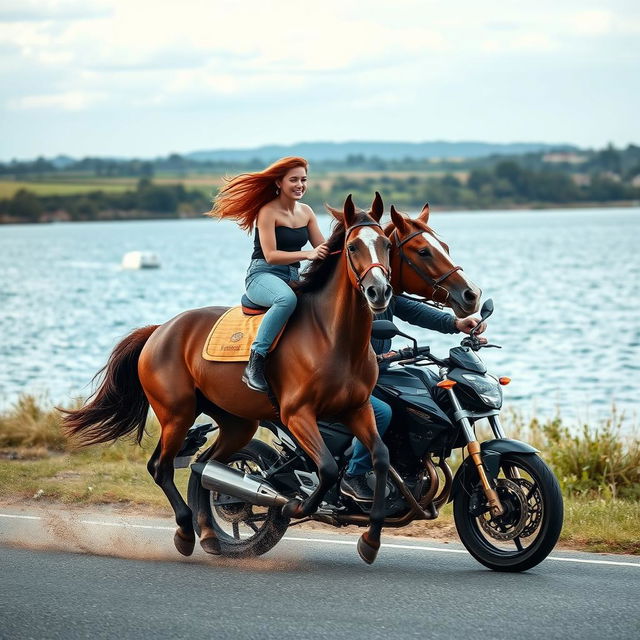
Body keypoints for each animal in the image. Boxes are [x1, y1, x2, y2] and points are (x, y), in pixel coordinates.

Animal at [63, 194, 396, 560]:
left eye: (386, 244)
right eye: (352, 246)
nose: (379, 292)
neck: (331, 337)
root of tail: (159, 330)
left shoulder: (358, 409)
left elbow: (381, 457)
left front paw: (371, 539)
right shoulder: (298, 415)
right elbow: (326, 469)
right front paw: (292, 503)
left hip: (237, 423)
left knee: (205, 467)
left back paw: (209, 533)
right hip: (177, 414)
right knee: (162, 467)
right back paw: (186, 532)